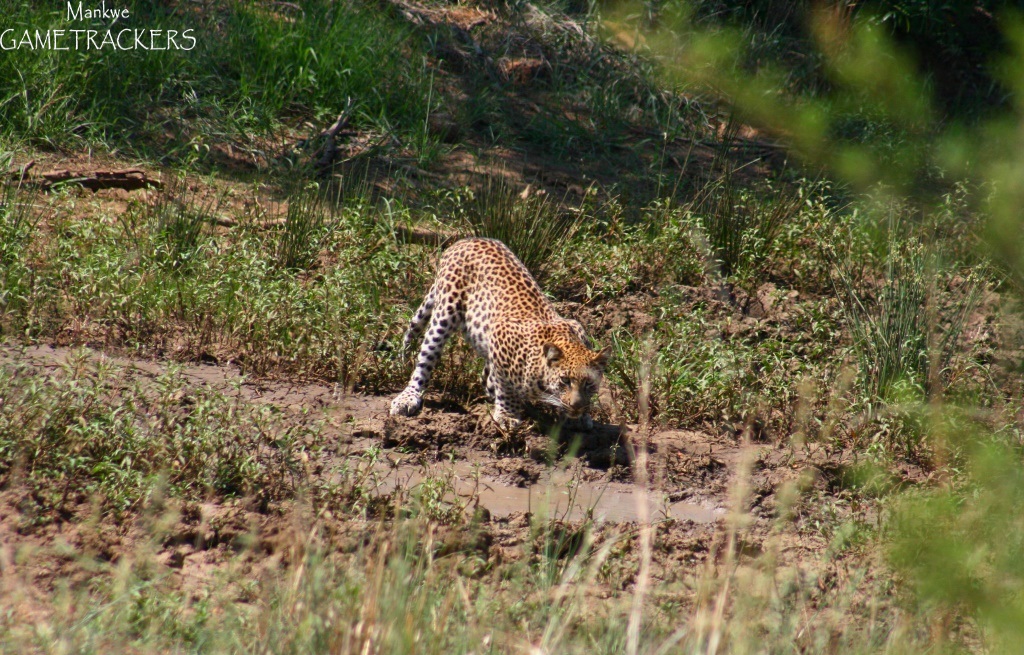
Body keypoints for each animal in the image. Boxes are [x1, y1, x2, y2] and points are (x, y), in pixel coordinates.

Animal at [390, 237, 609, 429]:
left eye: (589, 384)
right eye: (565, 381)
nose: (577, 406)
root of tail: (467, 240)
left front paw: (581, 417)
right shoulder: (500, 336)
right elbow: (505, 386)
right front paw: (507, 414)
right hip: (444, 313)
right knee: (424, 361)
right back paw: (407, 398)